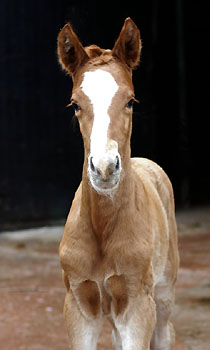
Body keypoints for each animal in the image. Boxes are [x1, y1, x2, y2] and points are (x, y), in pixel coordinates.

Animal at [57, 17, 179, 350]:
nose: (104, 168)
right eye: (75, 104)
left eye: (130, 101)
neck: (103, 227)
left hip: (163, 294)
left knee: (165, 334)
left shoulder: (136, 306)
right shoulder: (79, 304)